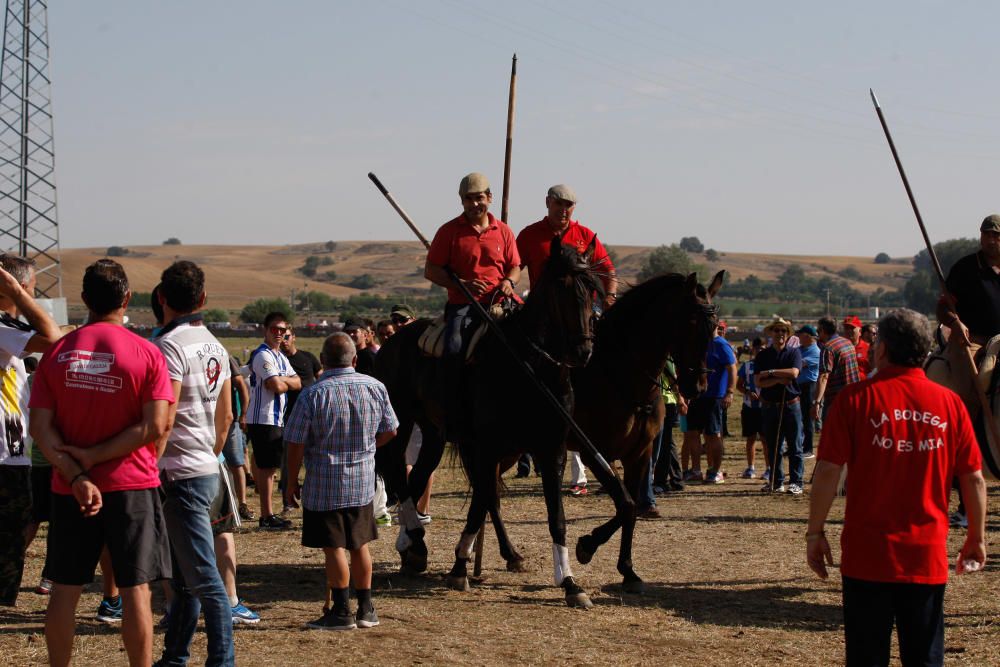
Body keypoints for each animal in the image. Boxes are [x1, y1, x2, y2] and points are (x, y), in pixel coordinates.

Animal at [370, 237, 596, 608]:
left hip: (434, 433)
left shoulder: (550, 451)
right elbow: (482, 502)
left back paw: (414, 545)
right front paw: (460, 566)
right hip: (402, 423)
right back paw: (414, 538)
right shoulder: (489, 447)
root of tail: (394, 340)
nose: (583, 352)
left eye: (592, 288)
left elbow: (555, 518)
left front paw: (570, 583)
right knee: (397, 471)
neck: (531, 368)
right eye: (561, 287)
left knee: (418, 477)